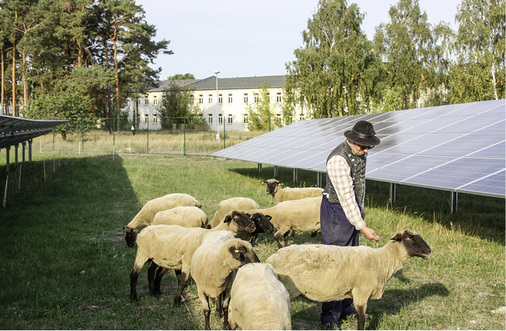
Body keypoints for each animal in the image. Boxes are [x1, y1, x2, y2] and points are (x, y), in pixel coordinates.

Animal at [264, 230, 430, 330]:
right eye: (408, 237)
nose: (429, 251)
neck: (382, 260)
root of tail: (271, 258)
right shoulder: (361, 292)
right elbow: (361, 318)